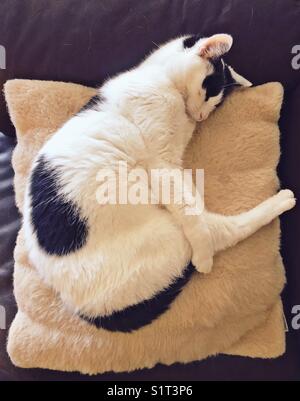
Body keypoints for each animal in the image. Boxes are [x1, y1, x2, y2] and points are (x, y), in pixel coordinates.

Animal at [23, 35, 296, 332]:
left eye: (215, 106)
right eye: (209, 94)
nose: (202, 117)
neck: (161, 78)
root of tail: (83, 310)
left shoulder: (172, 162)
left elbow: (187, 199)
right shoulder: (160, 162)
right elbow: (189, 209)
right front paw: (203, 253)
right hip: (169, 236)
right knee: (222, 232)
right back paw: (277, 203)